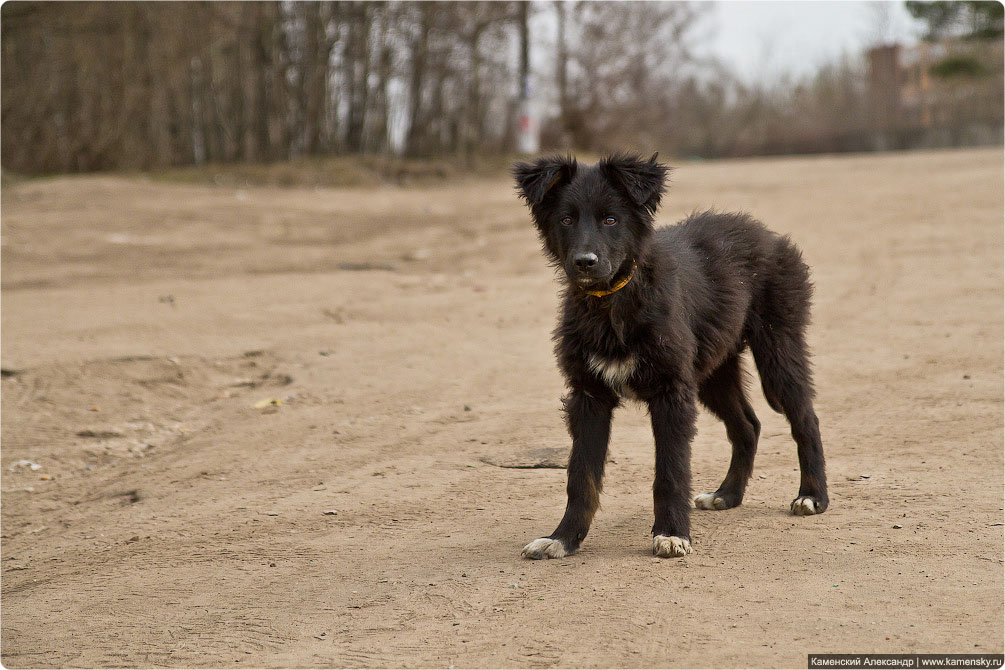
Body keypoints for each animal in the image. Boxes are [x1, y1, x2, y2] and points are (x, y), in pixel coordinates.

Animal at [514, 153, 828, 562]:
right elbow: (580, 476)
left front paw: (672, 534)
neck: (613, 302)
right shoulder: (588, 395)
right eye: (566, 220)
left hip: (778, 348)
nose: (584, 262)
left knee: (805, 418)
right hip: (713, 369)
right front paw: (562, 539)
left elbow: (671, 470)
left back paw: (812, 496)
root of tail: (767, 233)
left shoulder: (671, 392)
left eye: (611, 219)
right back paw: (727, 494)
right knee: (747, 425)